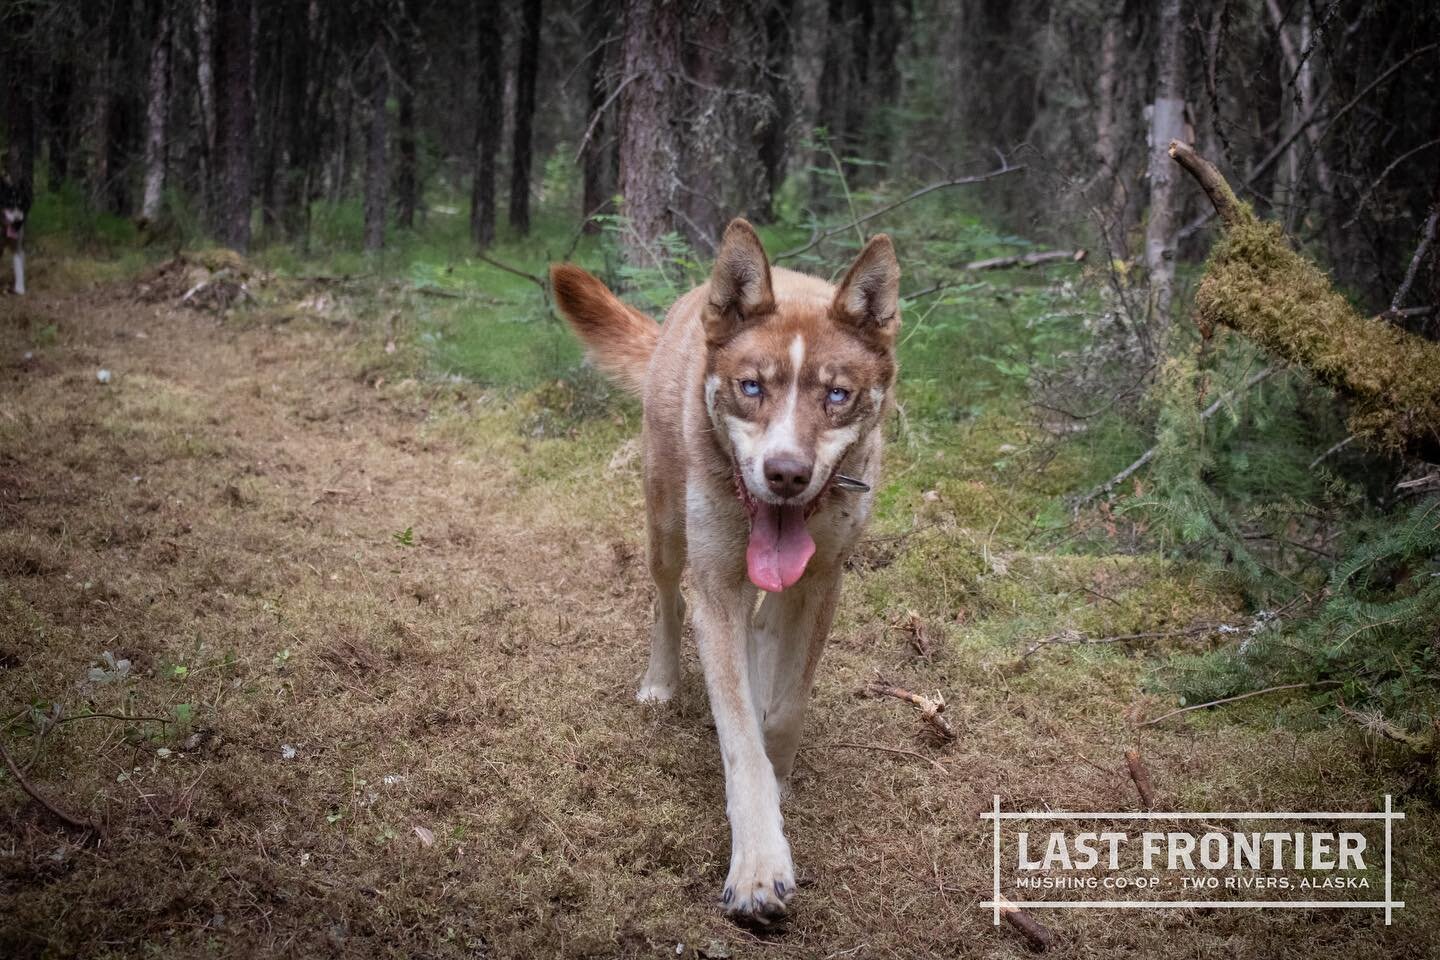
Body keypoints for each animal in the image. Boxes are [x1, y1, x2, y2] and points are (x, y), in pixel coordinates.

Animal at [550, 220, 898, 921]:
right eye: (752, 386)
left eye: (838, 395)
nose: (786, 474)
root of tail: (689, 304)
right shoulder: (715, 586)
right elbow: (740, 741)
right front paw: (759, 865)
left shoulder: (823, 580)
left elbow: (785, 709)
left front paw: (779, 772)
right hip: (665, 530)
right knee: (667, 601)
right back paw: (662, 681)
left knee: (762, 626)